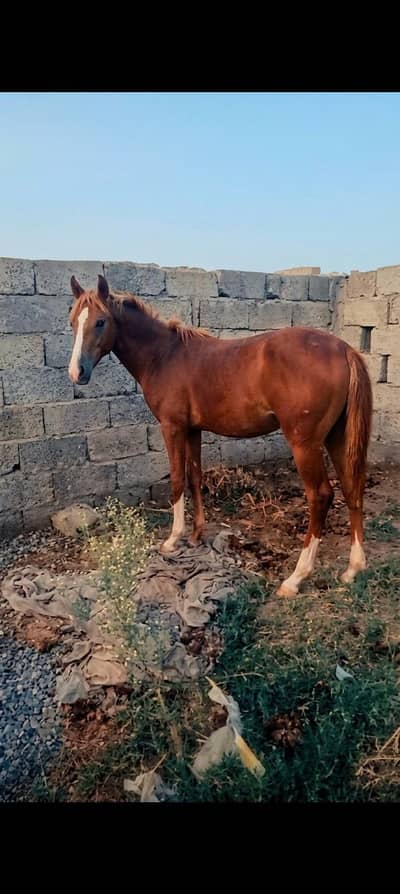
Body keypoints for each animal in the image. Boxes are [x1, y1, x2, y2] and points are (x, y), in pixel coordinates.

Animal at [68, 274, 373, 597]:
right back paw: (353, 569)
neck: (164, 355)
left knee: (320, 496)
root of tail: (343, 349)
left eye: (100, 321)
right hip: (336, 437)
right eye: (73, 320)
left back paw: (295, 578)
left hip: (305, 444)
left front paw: (173, 540)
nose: (77, 372)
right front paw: (196, 535)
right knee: (352, 488)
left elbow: (177, 479)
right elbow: (194, 477)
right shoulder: (193, 430)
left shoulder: (172, 427)